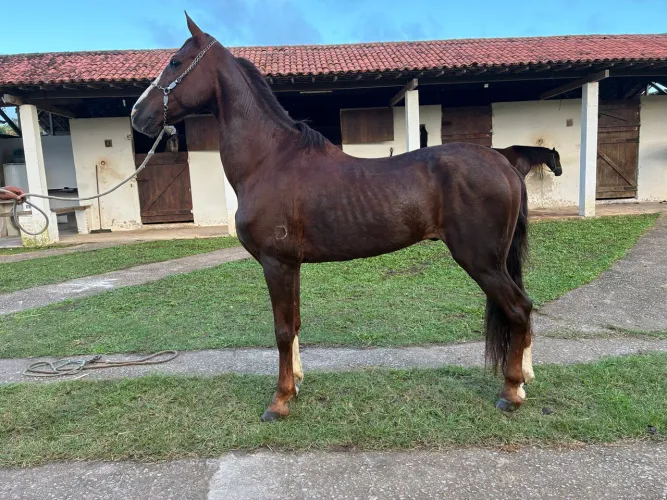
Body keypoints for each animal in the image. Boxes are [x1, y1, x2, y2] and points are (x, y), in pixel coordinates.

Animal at [131, 13, 534, 422]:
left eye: (175, 62)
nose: (137, 115)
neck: (269, 161)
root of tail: (503, 163)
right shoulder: (290, 264)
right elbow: (293, 324)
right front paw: (295, 385)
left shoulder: (276, 262)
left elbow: (281, 330)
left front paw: (279, 401)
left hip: (482, 262)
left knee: (519, 309)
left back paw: (511, 391)